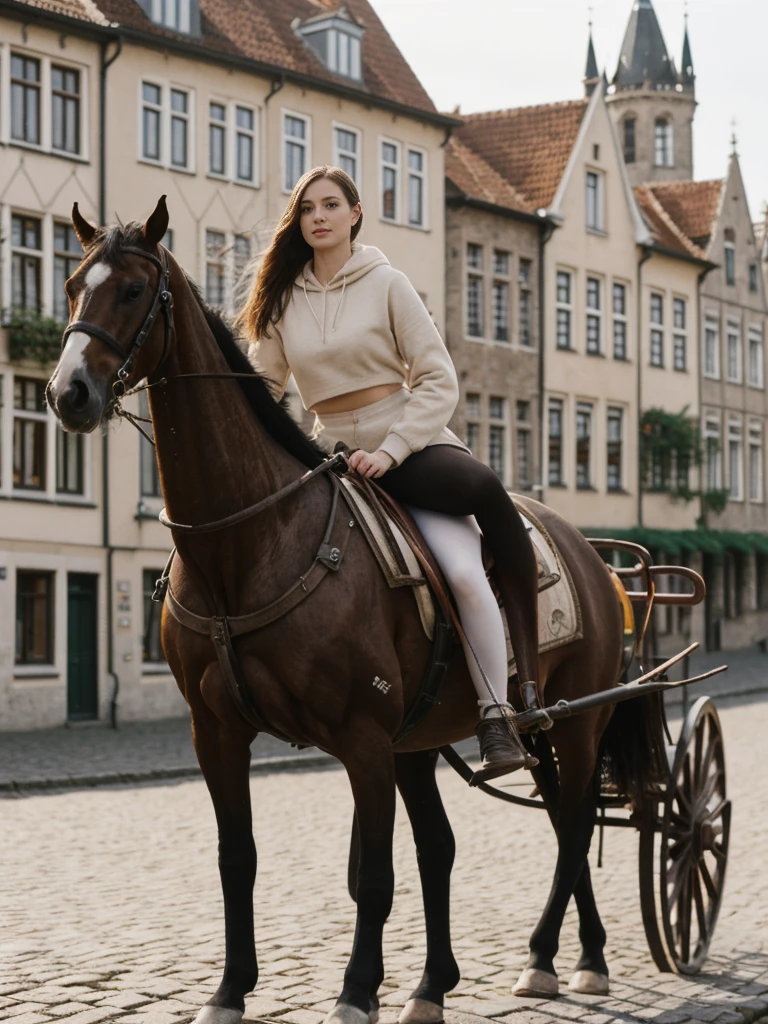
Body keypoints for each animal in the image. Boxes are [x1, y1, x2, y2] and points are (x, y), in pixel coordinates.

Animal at [46, 197, 663, 1024]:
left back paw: (559, 956)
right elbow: (239, 859)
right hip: (433, 740)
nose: (68, 392)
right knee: (466, 842)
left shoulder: (364, 738)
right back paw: (454, 980)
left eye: (135, 290)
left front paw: (356, 990)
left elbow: (373, 873)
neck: (249, 541)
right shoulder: (218, 733)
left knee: (569, 823)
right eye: (73, 283)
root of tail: (597, 559)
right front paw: (230, 989)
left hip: (570, 722)